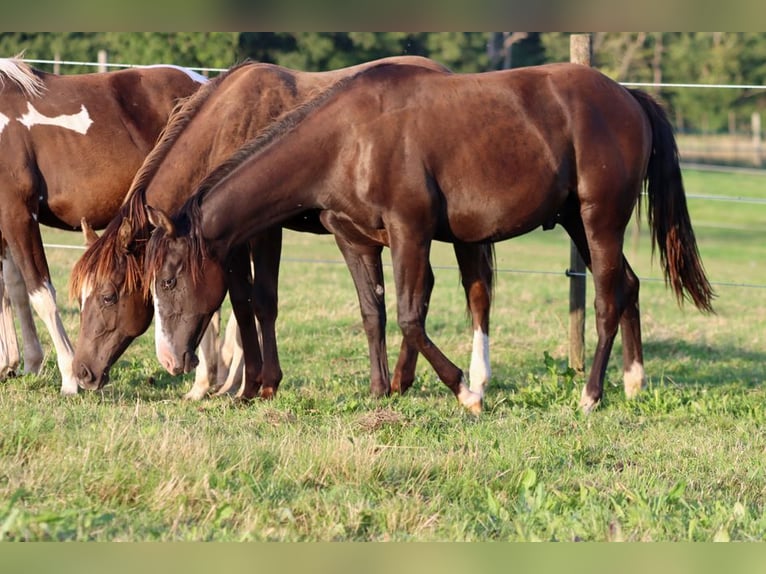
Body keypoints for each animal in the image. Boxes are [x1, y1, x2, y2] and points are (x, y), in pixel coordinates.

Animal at [68, 57, 496, 402]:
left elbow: (262, 301)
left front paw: (266, 383)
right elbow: (241, 303)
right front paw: (247, 387)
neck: (228, 127)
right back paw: (402, 380)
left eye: (108, 296)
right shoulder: (224, 243)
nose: (83, 372)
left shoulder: (260, 232)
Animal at [144, 62, 715, 415]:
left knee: (606, 300)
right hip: (578, 220)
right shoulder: (355, 240)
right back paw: (634, 382)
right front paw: (381, 390)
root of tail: (628, 96)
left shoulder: (410, 233)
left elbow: (410, 317)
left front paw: (466, 392)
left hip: (599, 221)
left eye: (168, 281)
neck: (349, 138)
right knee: (630, 287)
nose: (170, 361)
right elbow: (374, 313)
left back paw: (592, 395)